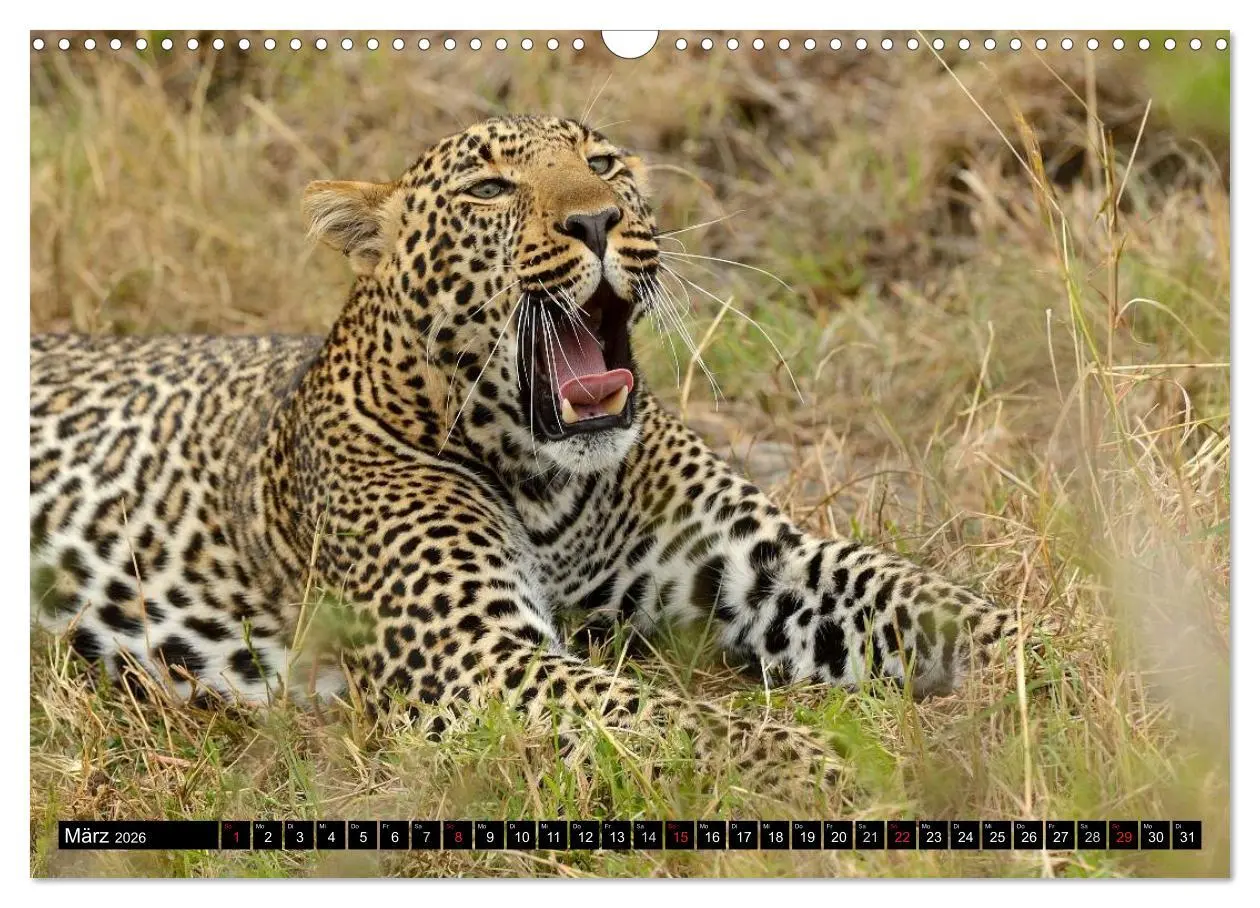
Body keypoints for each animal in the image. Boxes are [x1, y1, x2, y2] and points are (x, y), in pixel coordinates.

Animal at [30, 114, 1015, 794]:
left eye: (604, 164)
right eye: (490, 190)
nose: (599, 220)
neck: (550, 486)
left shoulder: (766, 558)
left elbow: (928, 598)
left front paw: (1044, 664)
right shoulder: (472, 657)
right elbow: (667, 717)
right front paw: (826, 767)